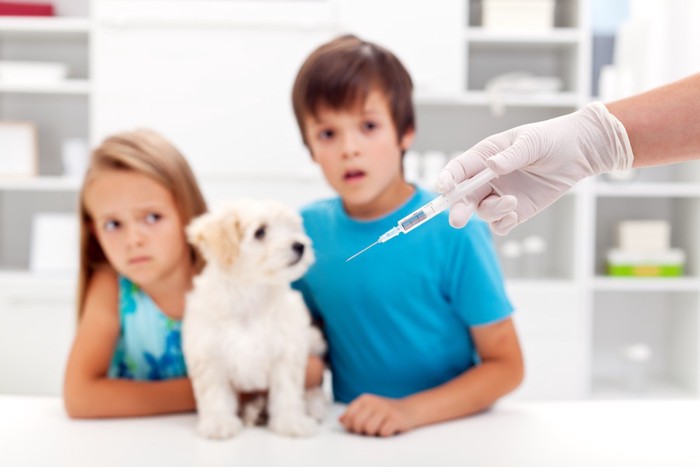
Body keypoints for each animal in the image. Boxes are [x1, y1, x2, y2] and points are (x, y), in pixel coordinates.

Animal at [183, 199, 326, 440]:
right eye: (260, 232)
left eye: (292, 228)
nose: (300, 245)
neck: (251, 295)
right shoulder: (209, 354)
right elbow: (215, 394)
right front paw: (219, 422)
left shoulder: (287, 351)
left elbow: (287, 392)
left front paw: (290, 422)